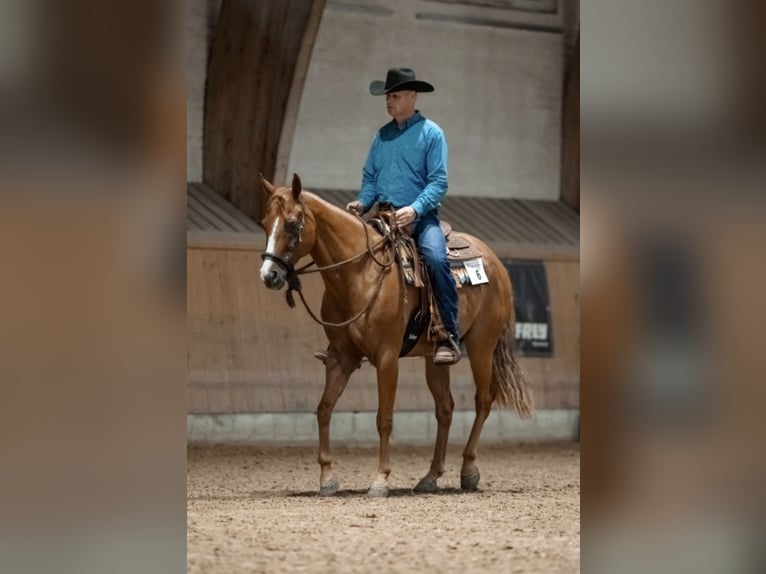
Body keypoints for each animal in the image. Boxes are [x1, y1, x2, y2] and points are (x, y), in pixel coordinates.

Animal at [258, 173, 536, 498]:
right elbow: (324, 409)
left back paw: (468, 471)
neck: (360, 274)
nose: (269, 275)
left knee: (483, 400)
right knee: (445, 408)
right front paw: (327, 478)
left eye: (292, 223)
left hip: (482, 346)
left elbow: (385, 419)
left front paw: (380, 480)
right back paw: (430, 476)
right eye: (265, 223)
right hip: (435, 359)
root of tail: (496, 262)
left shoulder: (387, 358)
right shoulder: (341, 357)